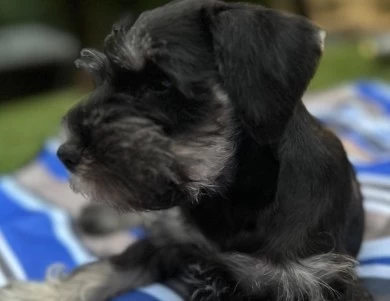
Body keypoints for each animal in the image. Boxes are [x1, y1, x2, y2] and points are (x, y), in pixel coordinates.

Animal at [0, 0, 372, 300]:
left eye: (160, 84)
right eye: (101, 78)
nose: (66, 154)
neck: (232, 200)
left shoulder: (317, 279)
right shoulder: (170, 242)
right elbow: (107, 267)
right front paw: (35, 293)